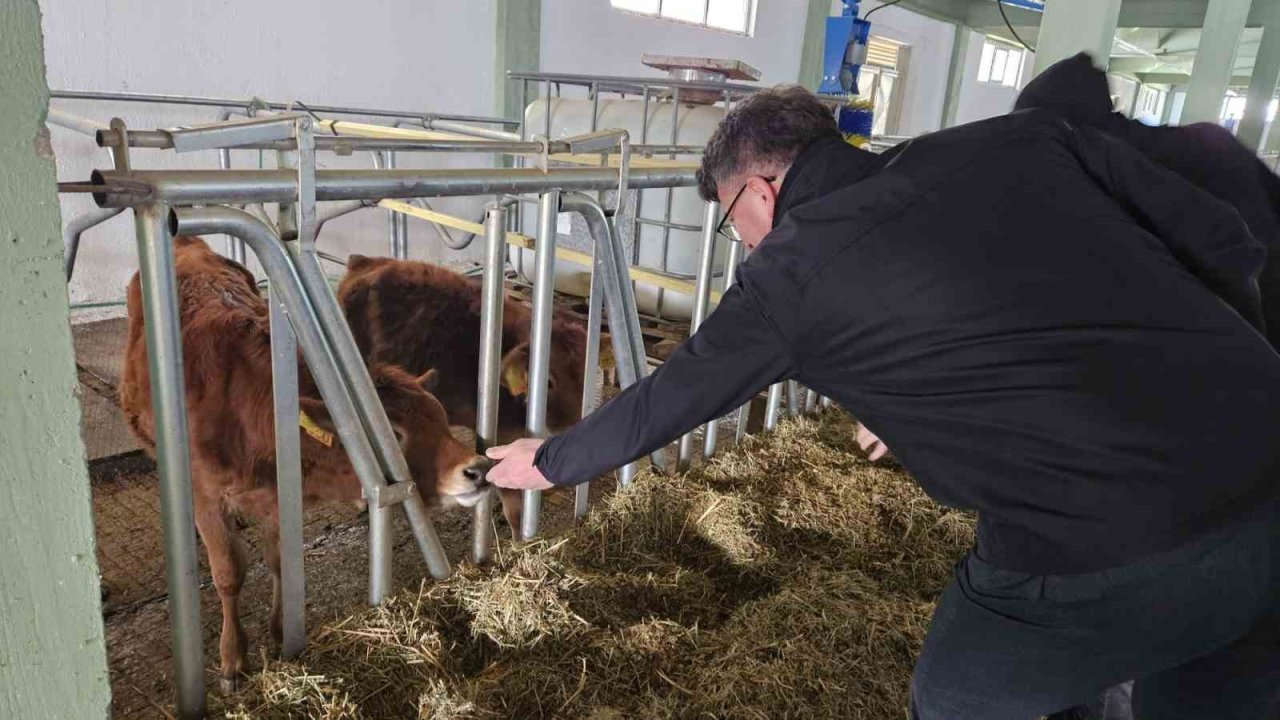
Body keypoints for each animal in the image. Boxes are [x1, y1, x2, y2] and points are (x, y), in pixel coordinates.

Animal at [119, 237, 488, 691]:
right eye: (393, 433)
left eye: (439, 416)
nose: (476, 468)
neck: (243, 404)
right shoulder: (205, 494)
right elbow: (229, 572)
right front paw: (232, 658)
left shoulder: (278, 493)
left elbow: (281, 560)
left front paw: (282, 633)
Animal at [335, 252, 614, 527]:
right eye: (547, 382)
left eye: (591, 373)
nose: (573, 428)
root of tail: (365, 261)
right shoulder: (503, 439)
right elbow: (514, 507)